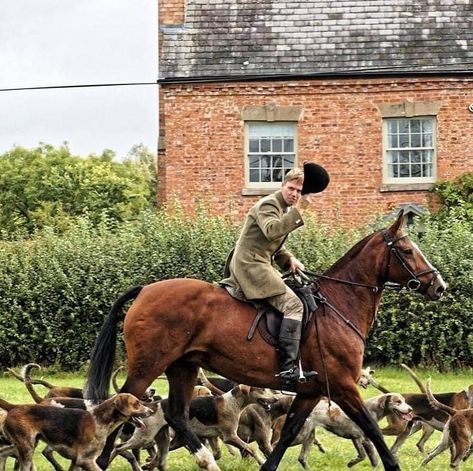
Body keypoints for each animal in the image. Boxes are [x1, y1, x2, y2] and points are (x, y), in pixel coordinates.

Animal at [85, 214, 446, 471]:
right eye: (408, 251)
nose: (439, 286)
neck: (338, 305)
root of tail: (146, 289)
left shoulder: (310, 390)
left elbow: (287, 434)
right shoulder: (343, 386)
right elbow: (372, 429)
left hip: (182, 367)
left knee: (176, 415)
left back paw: (207, 461)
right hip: (149, 365)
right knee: (122, 405)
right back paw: (102, 461)